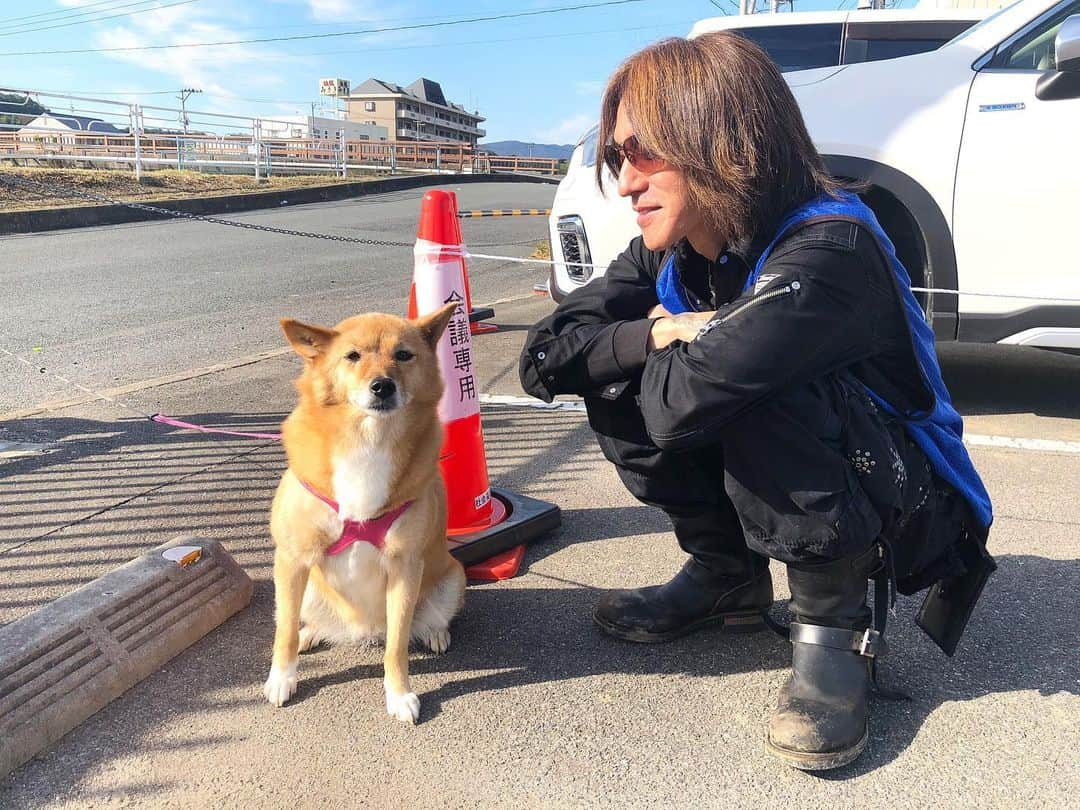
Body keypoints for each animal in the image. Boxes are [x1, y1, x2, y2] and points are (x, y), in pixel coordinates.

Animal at [263, 302, 466, 721]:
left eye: (403, 355)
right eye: (352, 356)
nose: (382, 386)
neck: (368, 439)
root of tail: (365, 630)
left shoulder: (405, 565)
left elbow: (397, 647)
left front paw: (399, 694)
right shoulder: (292, 558)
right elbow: (284, 630)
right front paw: (282, 677)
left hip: (452, 576)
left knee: (419, 624)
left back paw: (436, 631)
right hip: (304, 586)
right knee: (299, 617)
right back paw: (310, 633)